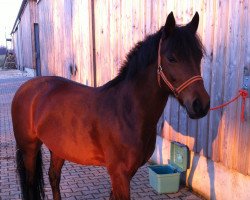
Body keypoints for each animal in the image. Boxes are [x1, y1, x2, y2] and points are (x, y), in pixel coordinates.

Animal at [12, 11, 210, 199]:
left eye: (199, 56)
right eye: (171, 58)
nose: (201, 104)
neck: (127, 112)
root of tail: (25, 88)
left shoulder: (127, 174)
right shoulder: (119, 174)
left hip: (58, 148)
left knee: (53, 177)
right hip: (29, 149)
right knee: (30, 184)